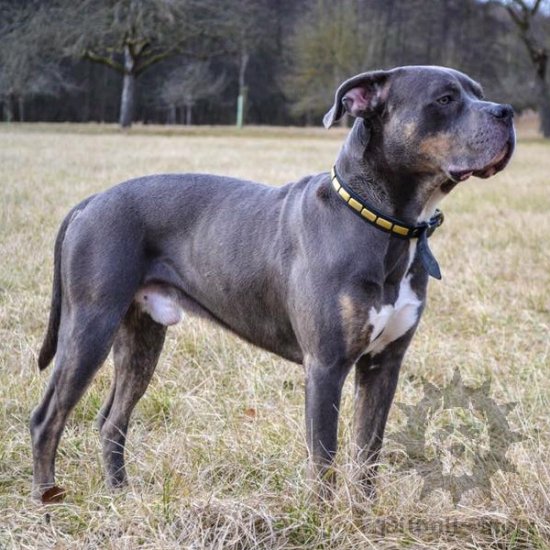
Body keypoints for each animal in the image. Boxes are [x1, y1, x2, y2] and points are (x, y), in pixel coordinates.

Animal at [32, 66, 516, 504]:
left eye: (478, 92)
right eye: (445, 99)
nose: (506, 111)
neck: (382, 221)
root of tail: (90, 202)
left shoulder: (384, 365)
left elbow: (367, 453)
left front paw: (364, 516)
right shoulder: (326, 365)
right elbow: (325, 457)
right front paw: (324, 521)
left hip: (141, 335)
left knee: (112, 420)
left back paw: (121, 495)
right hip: (90, 325)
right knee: (47, 418)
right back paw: (47, 499)